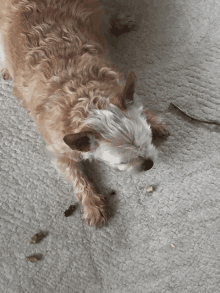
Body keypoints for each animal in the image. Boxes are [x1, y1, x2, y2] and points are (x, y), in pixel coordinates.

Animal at [0, 0, 169, 226]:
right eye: (123, 163)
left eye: (148, 141)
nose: (149, 164)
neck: (85, 95)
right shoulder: (59, 150)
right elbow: (77, 176)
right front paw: (91, 202)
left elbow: (135, 103)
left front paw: (153, 120)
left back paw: (118, 21)